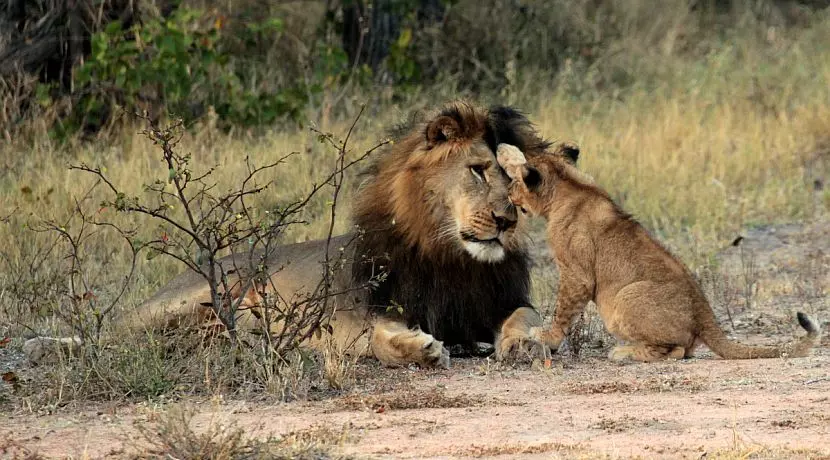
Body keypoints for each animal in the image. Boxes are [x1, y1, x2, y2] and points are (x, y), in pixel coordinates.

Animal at [24, 102, 577, 367]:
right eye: (479, 171)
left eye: (517, 178)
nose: (506, 221)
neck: (448, 255)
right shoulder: (352, 312)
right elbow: (371, 337)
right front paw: (418, 347)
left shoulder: (498, 300)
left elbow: (526, 318)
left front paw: (522, 344)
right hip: (182, 299)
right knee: (109, 335)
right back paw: (42, 345)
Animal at [495, 143, 821, 361]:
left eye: (515, 183)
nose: (508, 194)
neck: (568, 186)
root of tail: (704, 311)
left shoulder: (577, 275)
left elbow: (563, 311)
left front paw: (546, 336)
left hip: (624, 298)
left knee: (675, 350)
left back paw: (624, 352)